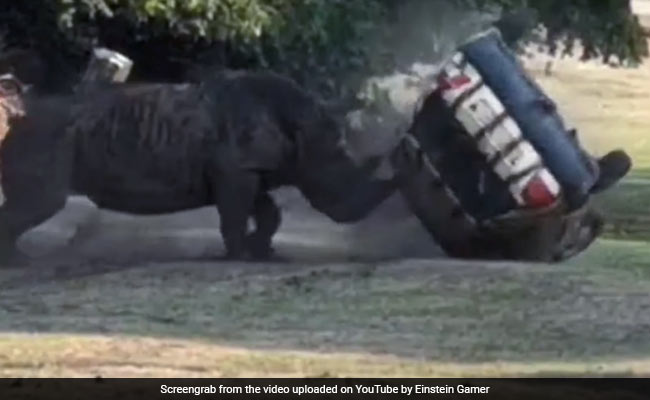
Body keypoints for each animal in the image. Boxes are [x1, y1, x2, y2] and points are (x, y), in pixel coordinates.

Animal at [0, 71, 403, 264]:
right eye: (335, 169)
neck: (302, 123)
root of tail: (16, 117)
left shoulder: (249, 168)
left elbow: (267, 213)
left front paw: (262, 252)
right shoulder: (238, 168)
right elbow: (237, 213)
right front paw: (240, 256)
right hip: (43, 135)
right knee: (44, 202)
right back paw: (21, 263)